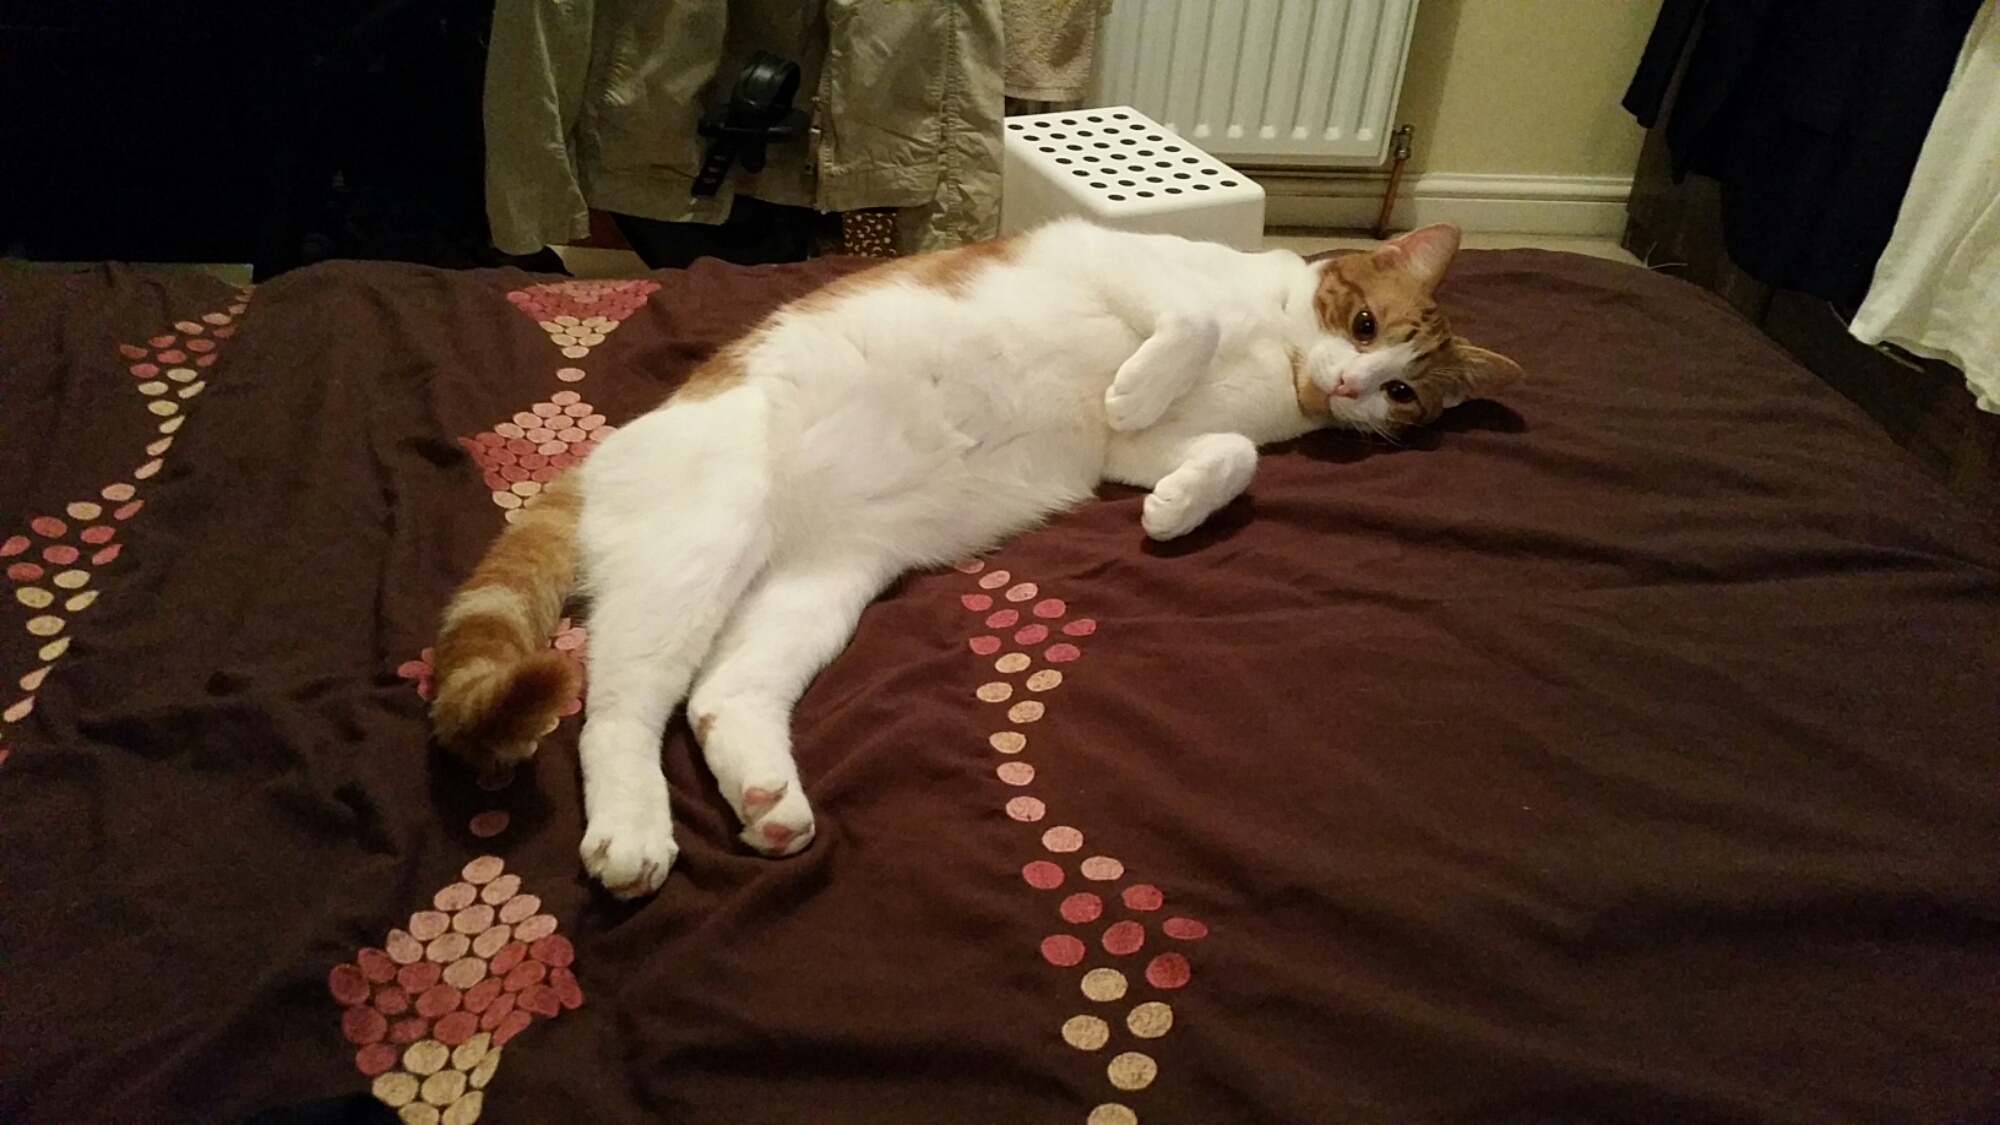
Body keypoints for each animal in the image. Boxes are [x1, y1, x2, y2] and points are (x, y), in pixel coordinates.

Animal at [429, 219, 1521, 898]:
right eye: (1364, 326)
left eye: (1403, 394)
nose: (1348, 386)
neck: (1282, 361)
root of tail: (600, 452)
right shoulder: (1105, 257)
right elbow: (1189, 323)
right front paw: (1145, 384)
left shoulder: (1134, 453)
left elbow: (1226, 455)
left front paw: (1175, 507)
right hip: (703, 548)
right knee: (616, 706)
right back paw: (633, 829)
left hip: (815, 590)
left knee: (719, 696)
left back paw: (767, 800)